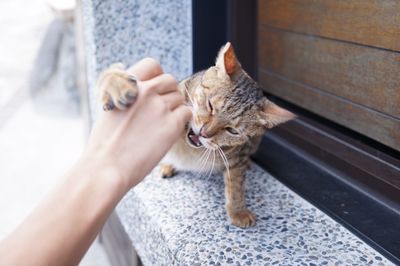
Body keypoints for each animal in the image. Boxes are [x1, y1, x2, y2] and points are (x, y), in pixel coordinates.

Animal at [98, 42, 296, 228]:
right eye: (210, 105)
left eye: (233, 130)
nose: (204, 133)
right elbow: (113, 72)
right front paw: (116, 83)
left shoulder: (236, 158)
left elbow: (236, 184)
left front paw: (238, 210)